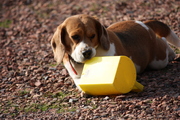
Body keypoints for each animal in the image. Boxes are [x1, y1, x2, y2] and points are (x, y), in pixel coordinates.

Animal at [50, 14, 180, 90]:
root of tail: (144, 24)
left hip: (158, 61)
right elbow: (80, 81)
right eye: (75, 37)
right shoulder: (75, 75)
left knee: (164, 42)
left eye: (93, 35)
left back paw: (171, 54)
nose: (87, 52)